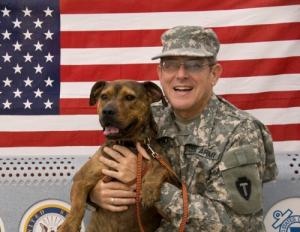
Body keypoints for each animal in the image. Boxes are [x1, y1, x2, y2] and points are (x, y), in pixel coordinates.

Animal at [58, 80, 173, 232]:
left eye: (130, 97)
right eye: (104, 96)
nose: (107, 111)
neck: (128, 144)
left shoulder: (171, 172)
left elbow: (158, 167)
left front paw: (148, 190)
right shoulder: (81, 178)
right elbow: (78, 204)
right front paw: (69, 225)